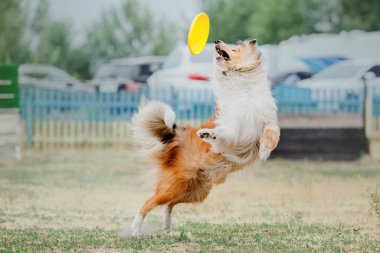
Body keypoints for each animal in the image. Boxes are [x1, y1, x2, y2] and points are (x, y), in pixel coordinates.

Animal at [130, 38, 280, 236]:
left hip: (194, 191)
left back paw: (168, 228)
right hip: (177, 184)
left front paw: (264, 151)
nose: (217, 41)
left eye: (235, 48)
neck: (243, 88)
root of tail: (176, 137)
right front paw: (208, 134)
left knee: (168, 204)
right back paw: (135, 230)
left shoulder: (268, 120)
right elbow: (225, 133)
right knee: (149, 201)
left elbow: (272, 134)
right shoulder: (232, 126)